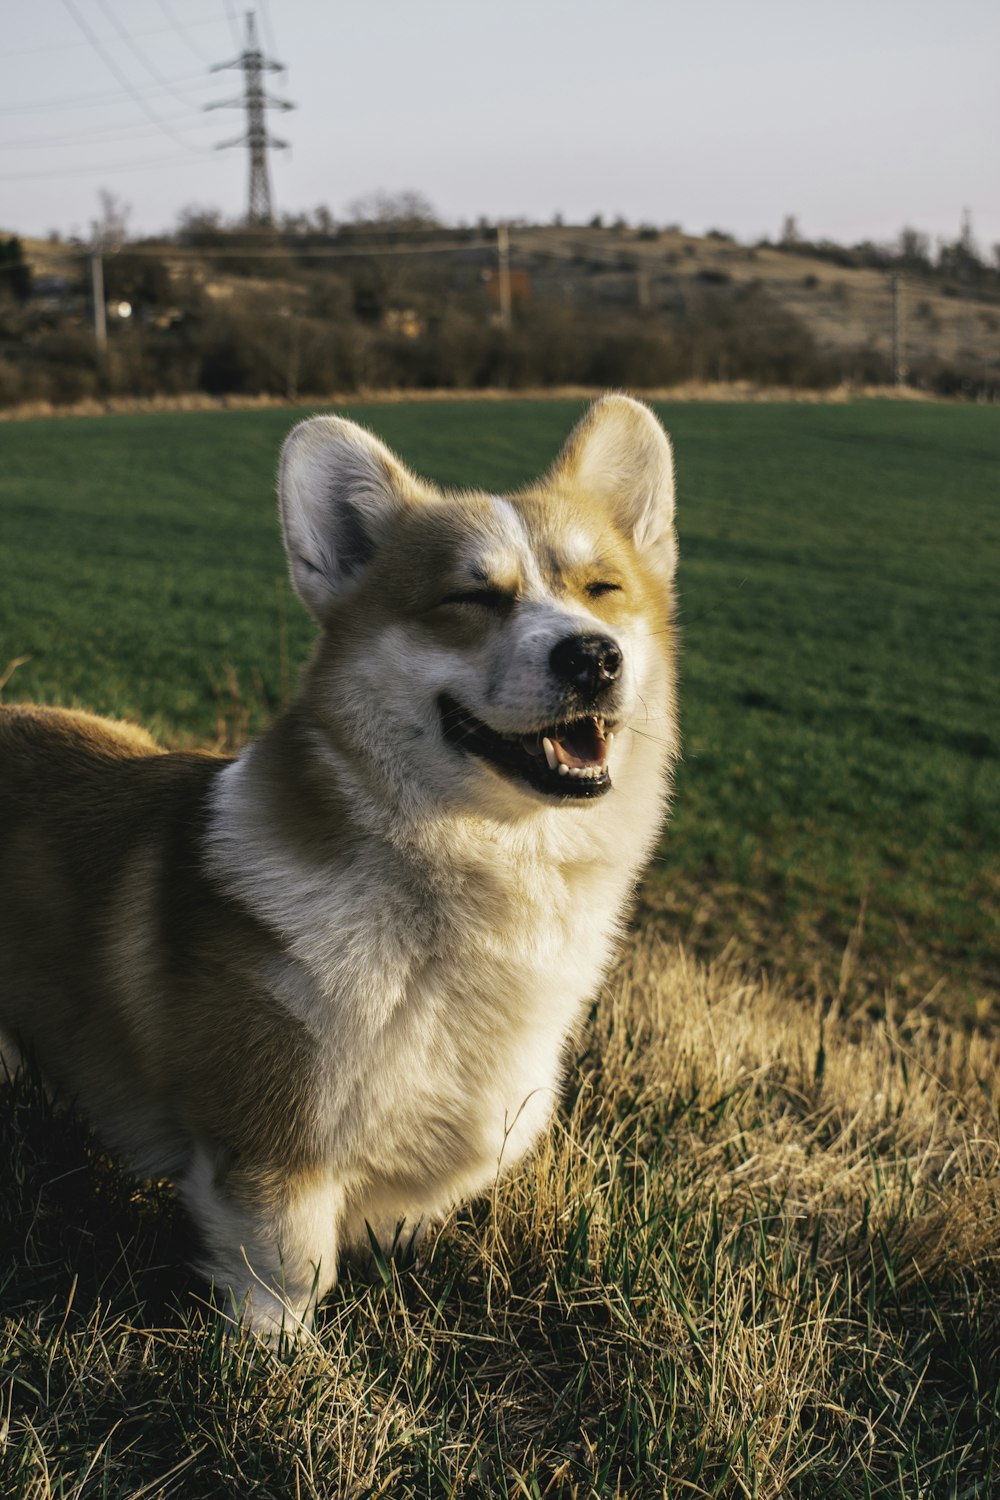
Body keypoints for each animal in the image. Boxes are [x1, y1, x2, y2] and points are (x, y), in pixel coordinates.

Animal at [0, 396, 680, 1338]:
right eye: (470, 597)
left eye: (603, 589)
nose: (593, 656)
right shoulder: (270, 1153)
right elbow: (287, 1275)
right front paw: (276, 1360)